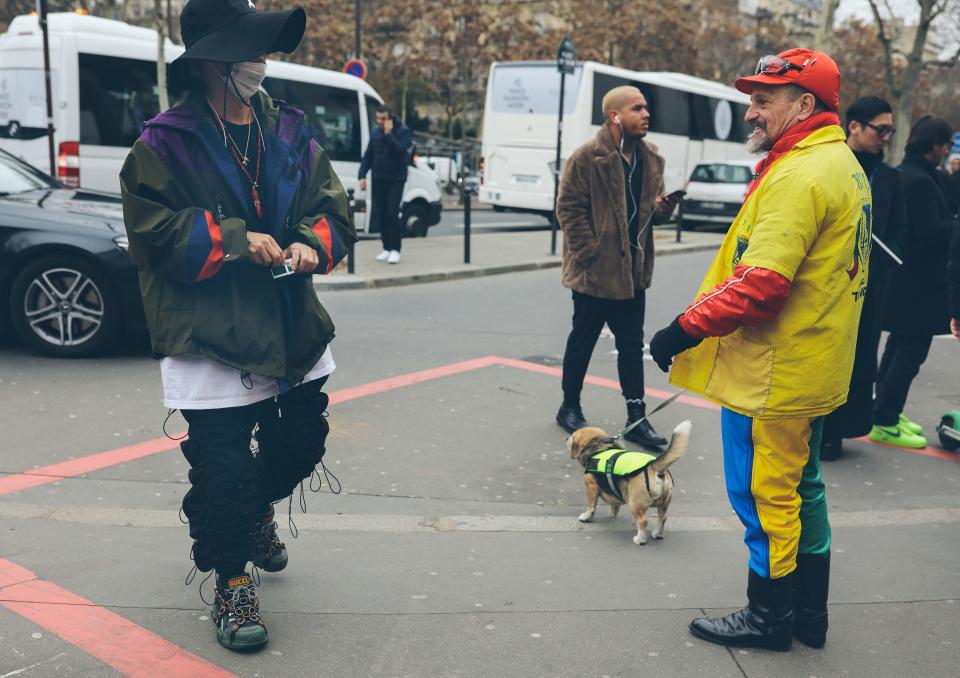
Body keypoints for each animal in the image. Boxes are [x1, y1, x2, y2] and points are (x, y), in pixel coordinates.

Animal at [568, 420, 692, 548]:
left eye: (572, 435)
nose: (567, 438)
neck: (598, 448)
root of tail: (654, 466)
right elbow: (614, 506)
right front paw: (612, 514)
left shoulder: (591, 487)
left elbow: (591, 506)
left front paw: (586, 517)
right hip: (663, 504)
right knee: (663, 518)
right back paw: (657, 534)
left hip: (634, 504)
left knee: (643, 521)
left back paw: (640, 539)